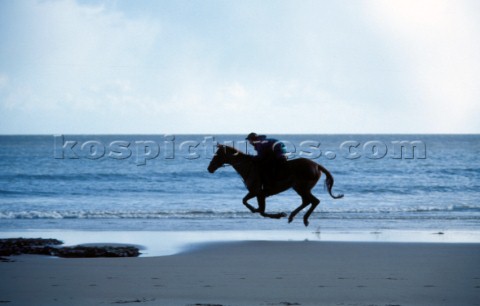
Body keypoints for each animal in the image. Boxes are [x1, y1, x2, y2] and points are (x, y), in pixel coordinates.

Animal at [208, 145, 344, 226]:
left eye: (217, 155)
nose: (209, 168)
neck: (248, 167)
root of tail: (317, 166)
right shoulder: (257, 193)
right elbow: (251, 205)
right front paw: (260, 210)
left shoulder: (257, 192)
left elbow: (259, 209)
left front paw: (278, 215)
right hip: (300, 188)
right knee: (307, 201)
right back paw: (293, 216)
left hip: (301, 187)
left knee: (314, 201)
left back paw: (303, 218)